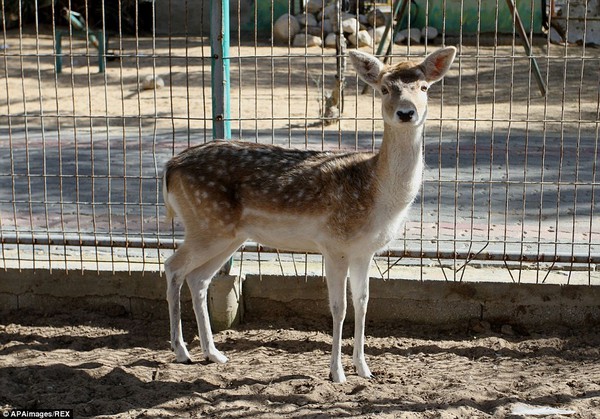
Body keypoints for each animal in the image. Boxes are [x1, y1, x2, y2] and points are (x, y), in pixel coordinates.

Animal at [162, 46, 458, 384]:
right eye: (384, 89)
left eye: (424, 87)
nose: (406, 113)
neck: (376, 197)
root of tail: (169, 168)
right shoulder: (334, 244)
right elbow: (339, 307)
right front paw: (337, 373)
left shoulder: (365, 251)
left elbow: (363, 303)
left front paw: (365, 369)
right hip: (206, 225)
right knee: (173, 267)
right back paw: (181, 351)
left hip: (227, 235)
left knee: (198, 278)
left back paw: (214, 353)